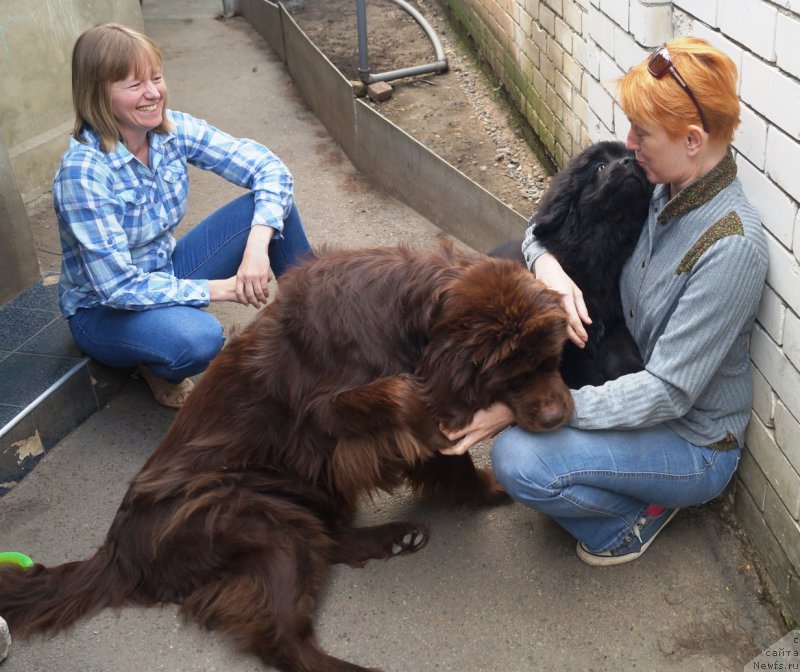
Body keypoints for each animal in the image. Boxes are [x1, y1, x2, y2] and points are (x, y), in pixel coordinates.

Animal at [0, 242, 576, 672]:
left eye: (552, 359)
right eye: (513, 373)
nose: (559, 416)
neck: (414, 318)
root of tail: (118, 551)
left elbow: (445, 454)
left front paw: (484, 487)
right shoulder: (332, 413)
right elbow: (401, 399)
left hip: (298, 495)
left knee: (324, 540)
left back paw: (393, 538)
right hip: (253, 513)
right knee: (283, 637)